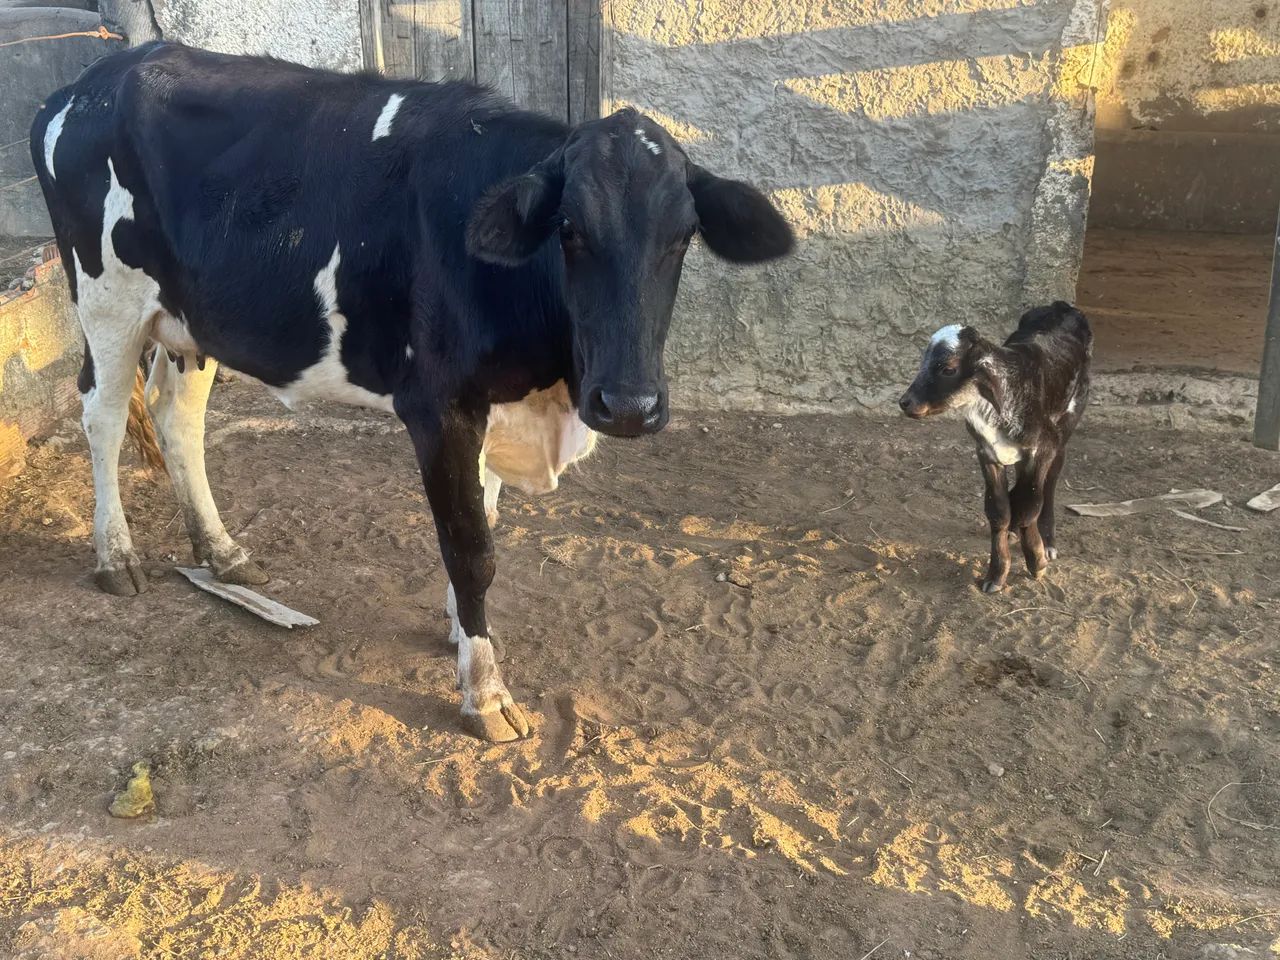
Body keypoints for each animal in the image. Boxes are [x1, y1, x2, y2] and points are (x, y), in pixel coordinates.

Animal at [30, 42, 793, 741]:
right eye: (570, 230)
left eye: (684, 235)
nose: (630, 406)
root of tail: (104, 72)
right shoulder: (438, 405)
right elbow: (472, 546)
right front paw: (485, 691)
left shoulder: (492, 405)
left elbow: (484, 515)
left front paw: (460, 632)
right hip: (105, 298)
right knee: (101, 414)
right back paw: (116, 557)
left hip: (191, 319)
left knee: (175, 415)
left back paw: (221, 552)